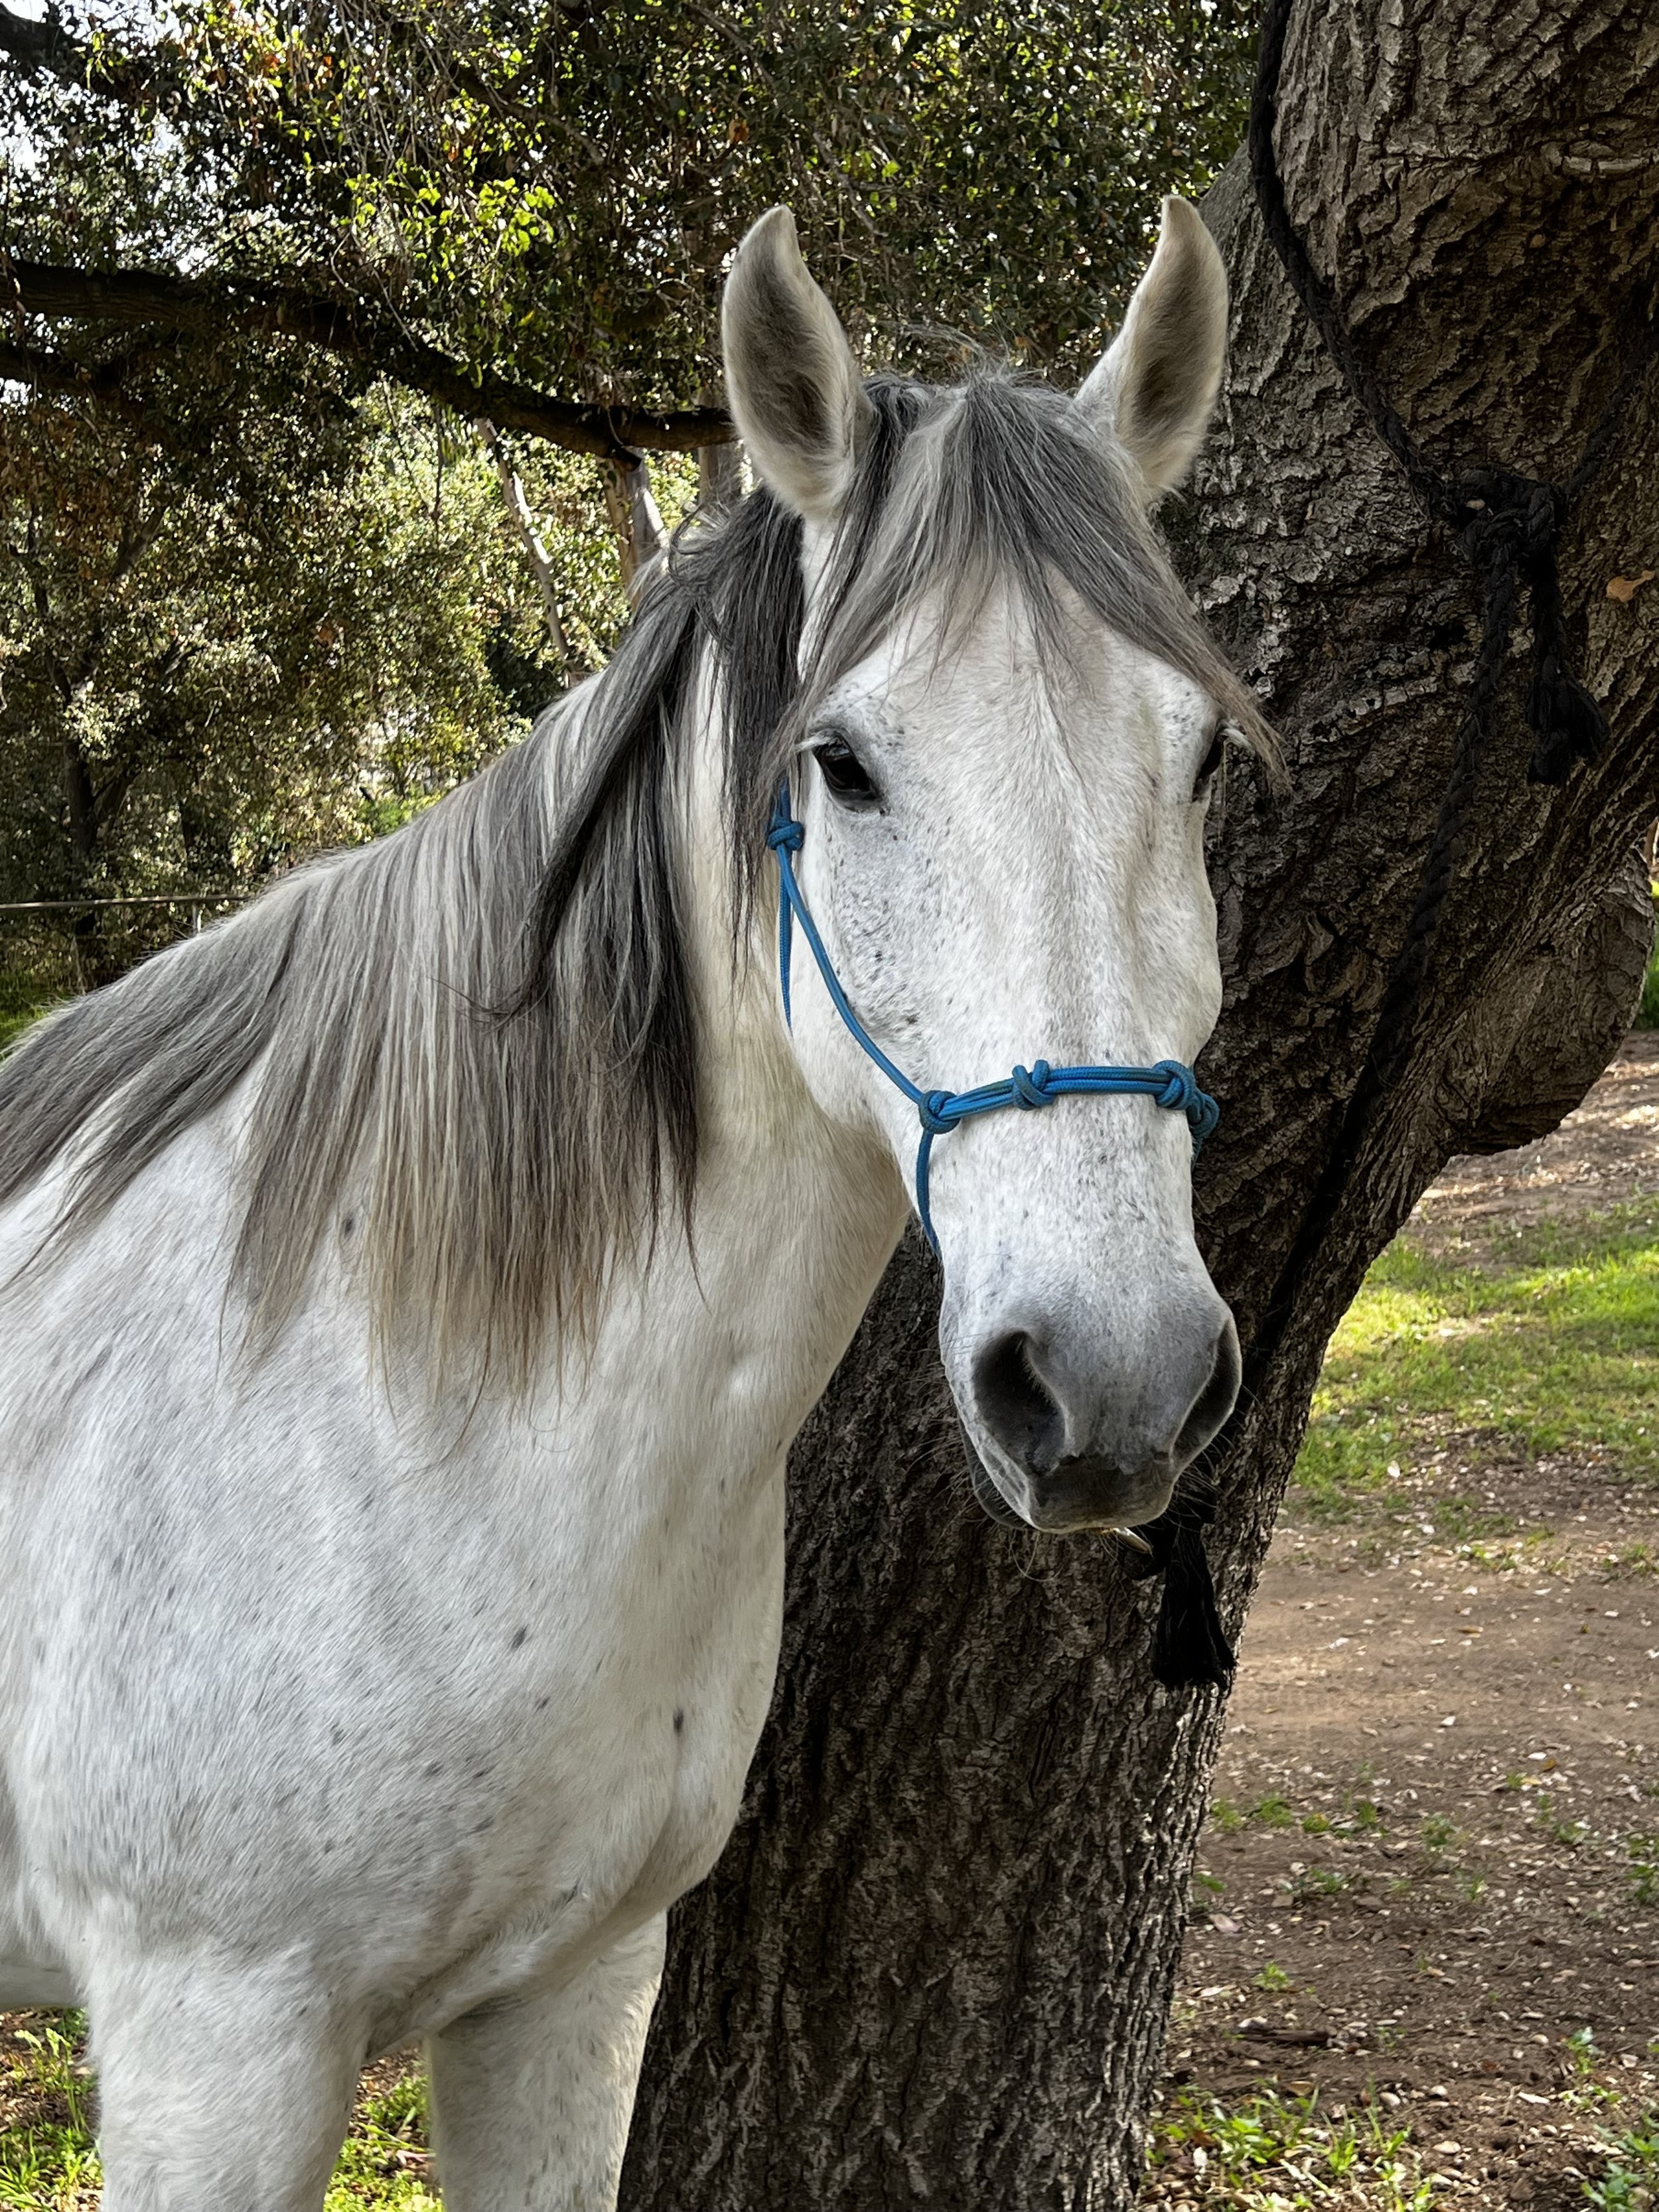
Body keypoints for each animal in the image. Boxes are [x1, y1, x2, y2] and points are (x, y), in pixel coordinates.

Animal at [0, 198, 1269, 2210]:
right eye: (842, 763)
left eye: (1201, 755)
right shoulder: (215, 2043)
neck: (402, 1416)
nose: (1111, 1378)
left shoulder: (573, 1989)